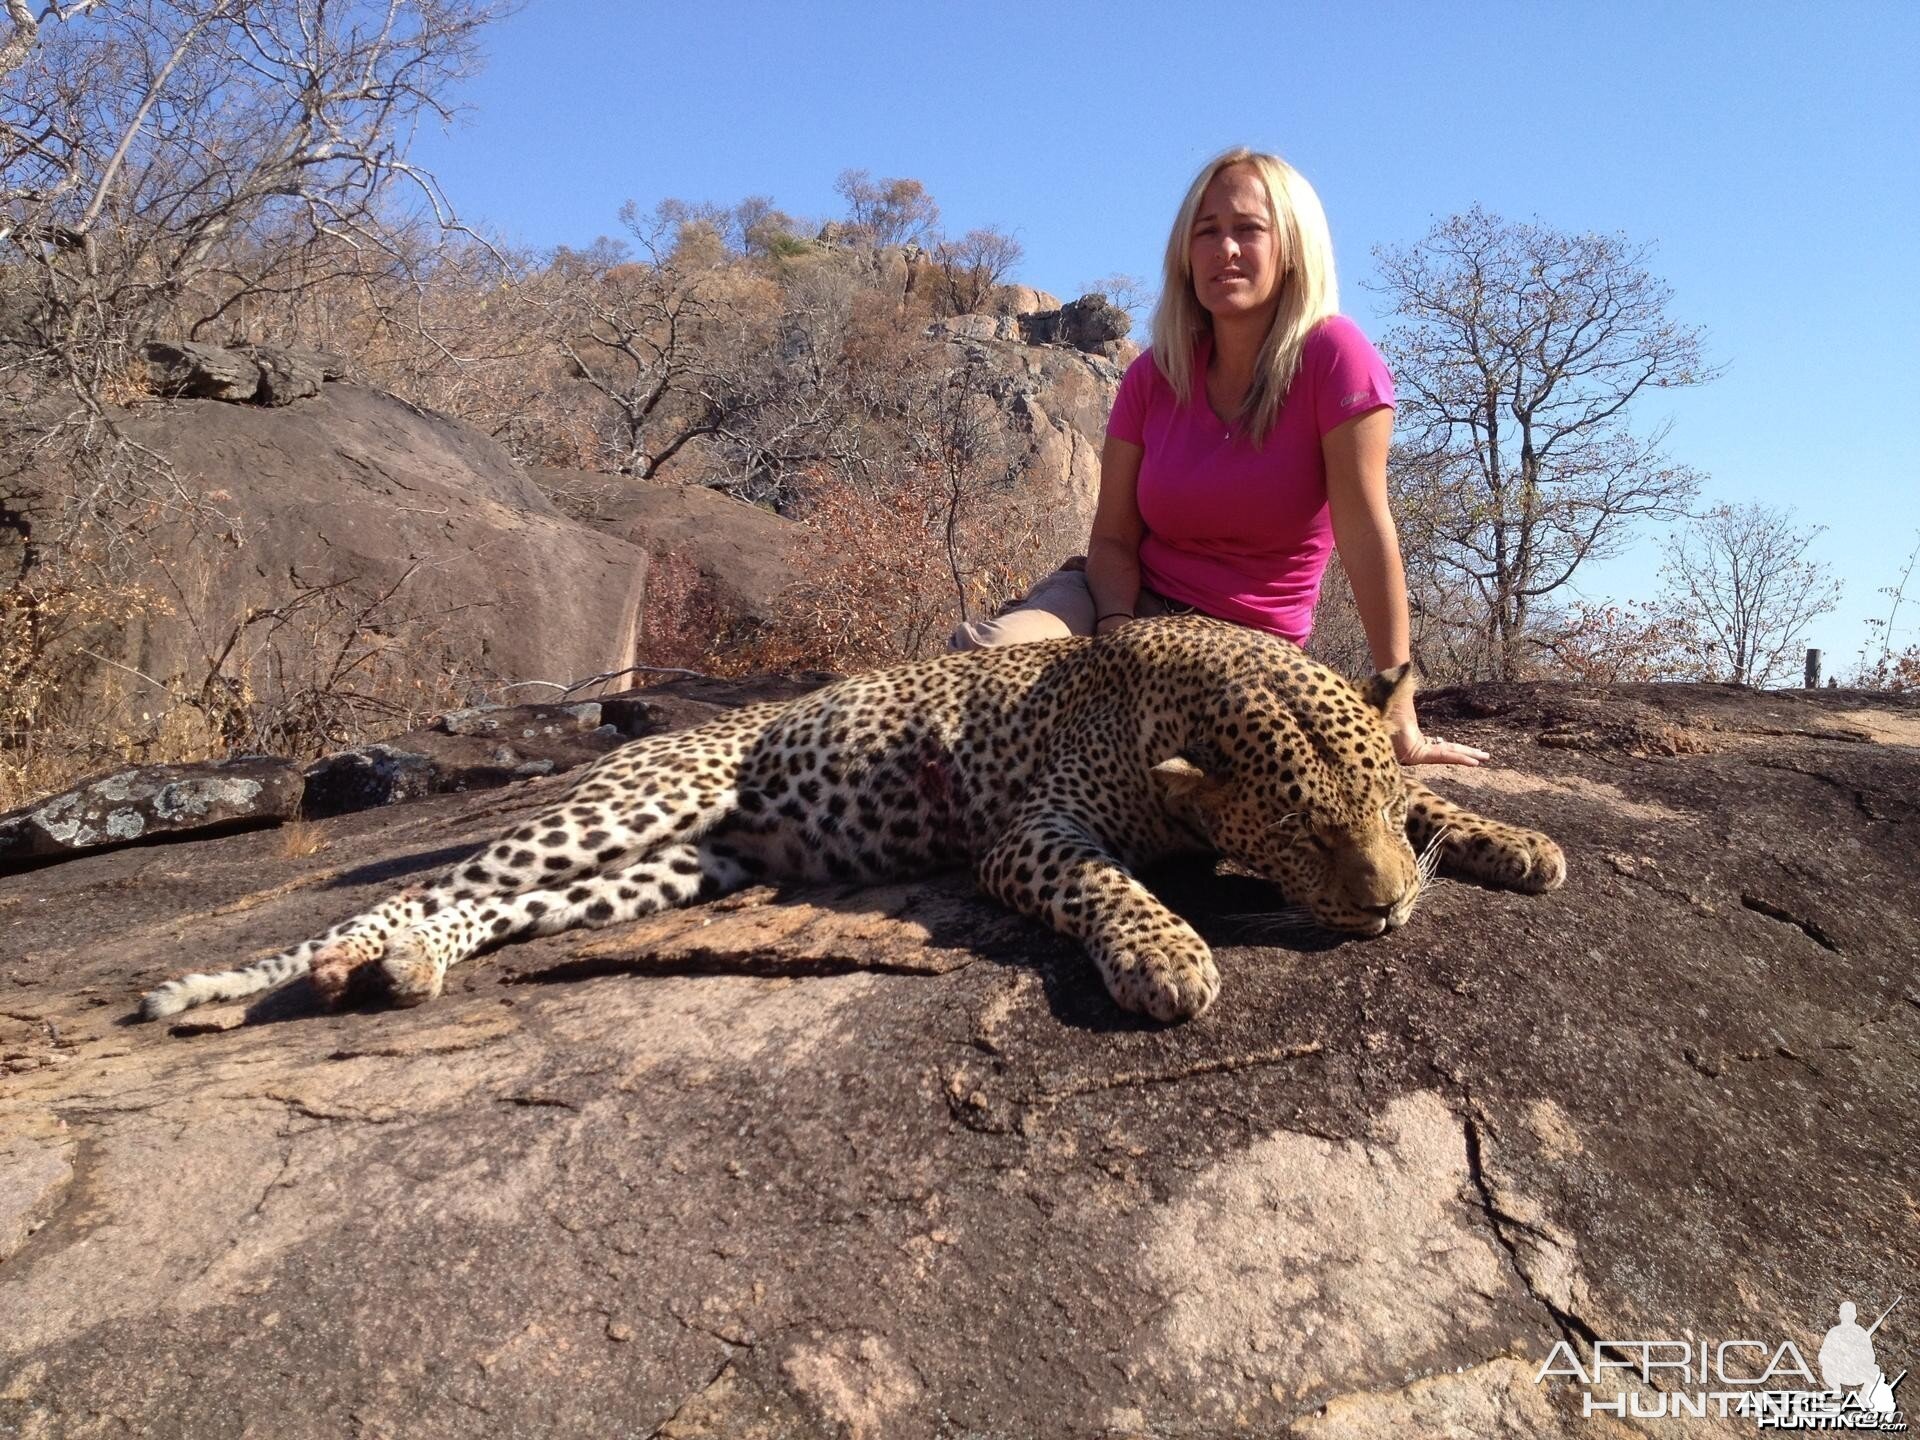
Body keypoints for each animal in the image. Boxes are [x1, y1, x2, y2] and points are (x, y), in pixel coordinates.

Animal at [142, 618, 1566, 1029]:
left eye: (1362, 817)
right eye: (1304, 837)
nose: (1384, 908)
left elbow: (1439, 794)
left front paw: (1516, 843)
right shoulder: (1029, 839)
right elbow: (1115, 888)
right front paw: (1166, 955)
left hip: (675, 872)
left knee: (494, 911)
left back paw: (393, 968)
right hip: (634, 805)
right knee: (436, 888)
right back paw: (330, 959)